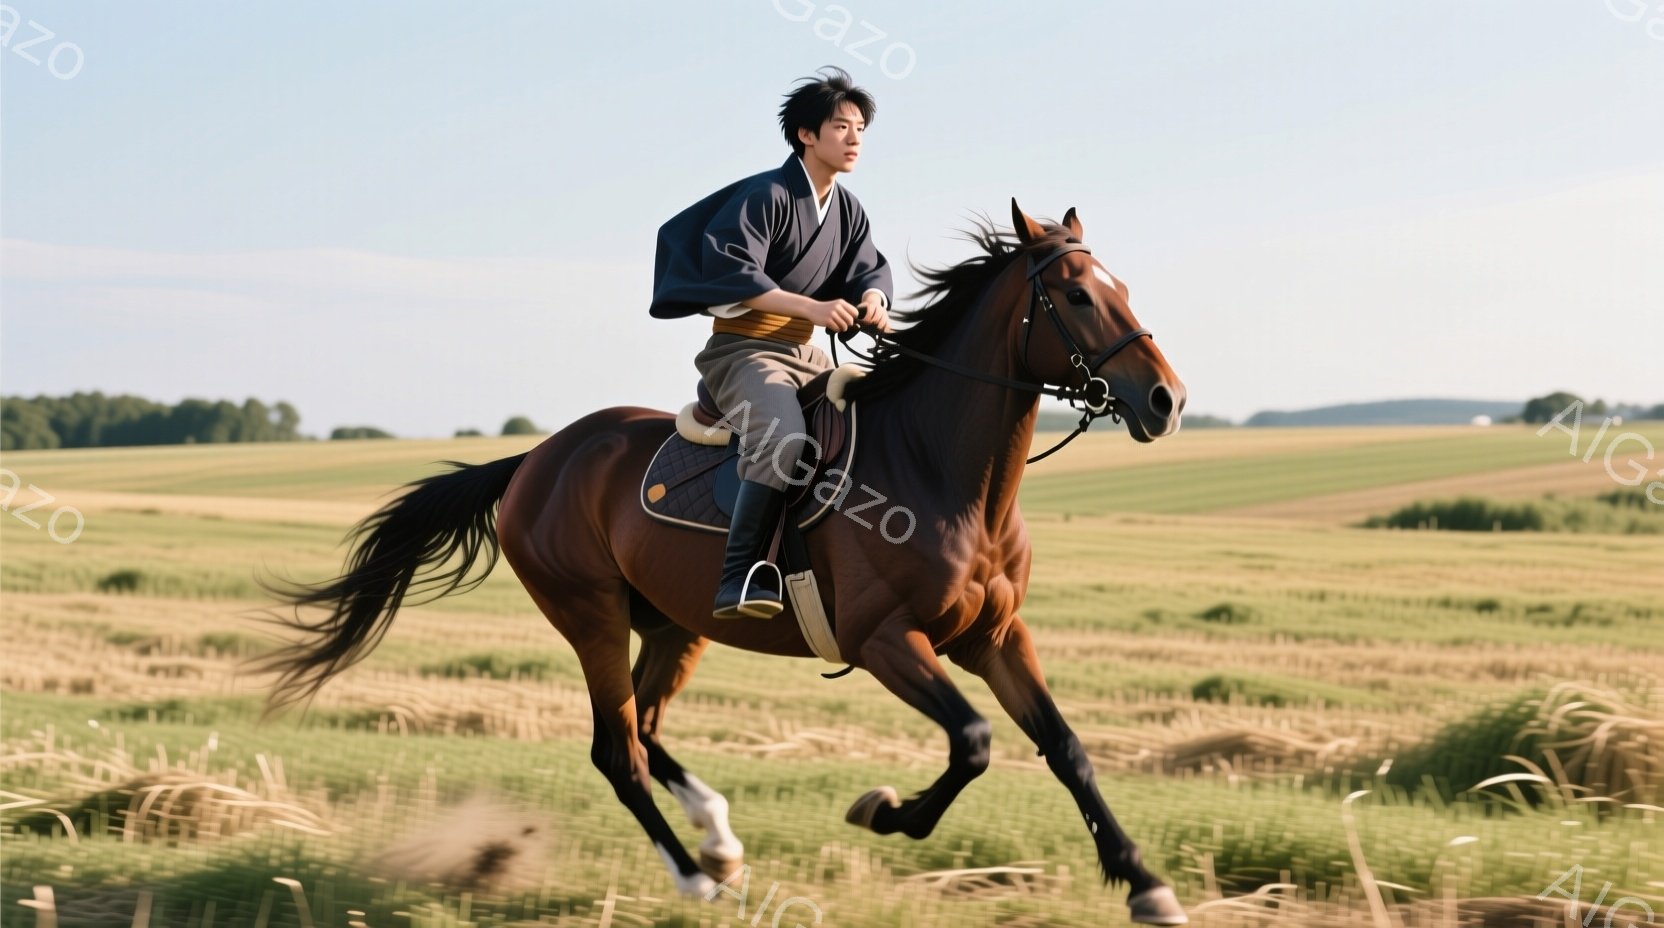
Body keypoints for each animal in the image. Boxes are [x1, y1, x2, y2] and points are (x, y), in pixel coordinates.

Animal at [257, 200, 1191, 925]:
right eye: (1077, 295)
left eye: (1124, 290)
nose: (1166, 400)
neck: (939, 471)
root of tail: (535, 460)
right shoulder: (886, 641)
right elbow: (972, 741)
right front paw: (887, 813)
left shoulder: (996, 636)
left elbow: (1065, 748)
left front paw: (1145, 884)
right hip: (592, 617)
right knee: (618, 750)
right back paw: (696, 877)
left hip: (678, 624)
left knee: (645, 727)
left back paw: (719, 838)